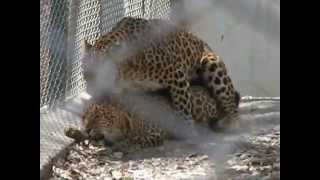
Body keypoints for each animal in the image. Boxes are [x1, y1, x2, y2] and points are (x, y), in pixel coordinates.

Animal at [80, 16, 240, 129]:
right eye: (86, 75)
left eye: (100, 73)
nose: (91, 92)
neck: (126, 73)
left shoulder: (176, 75)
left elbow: (182, 105)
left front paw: (187, 128)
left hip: (211, 63)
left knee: (231, 103)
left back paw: (229, 123)